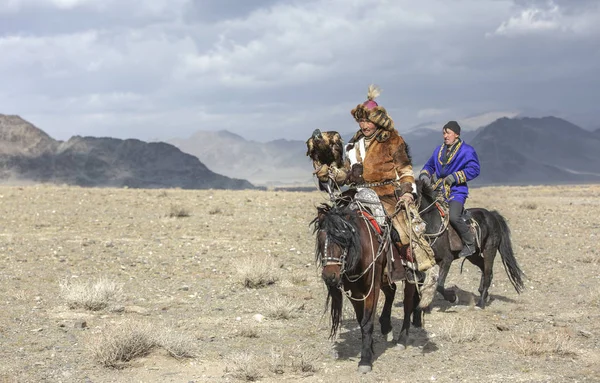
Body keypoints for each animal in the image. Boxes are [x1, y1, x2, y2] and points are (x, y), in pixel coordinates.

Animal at [312, 194, 420, 374]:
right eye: (321, 240)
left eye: (344, 239)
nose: (330, 276)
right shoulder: (354, 293)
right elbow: (360, 320)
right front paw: (369, 347)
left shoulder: (371, 290)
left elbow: (367, 322)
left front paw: (365, 360)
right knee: (391, 292)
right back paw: (386, 326)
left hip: (408, 276)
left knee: (408, 303)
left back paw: (401, 339)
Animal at [414, 182, 524, 310]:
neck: (434, 224)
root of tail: (492, 215)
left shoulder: (447, 260)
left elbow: (440, 285)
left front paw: (453, 298)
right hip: (474, 255)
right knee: (484, 268)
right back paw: (483, 293)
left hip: (489, 250)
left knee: (488, 273)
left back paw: (481, 303)